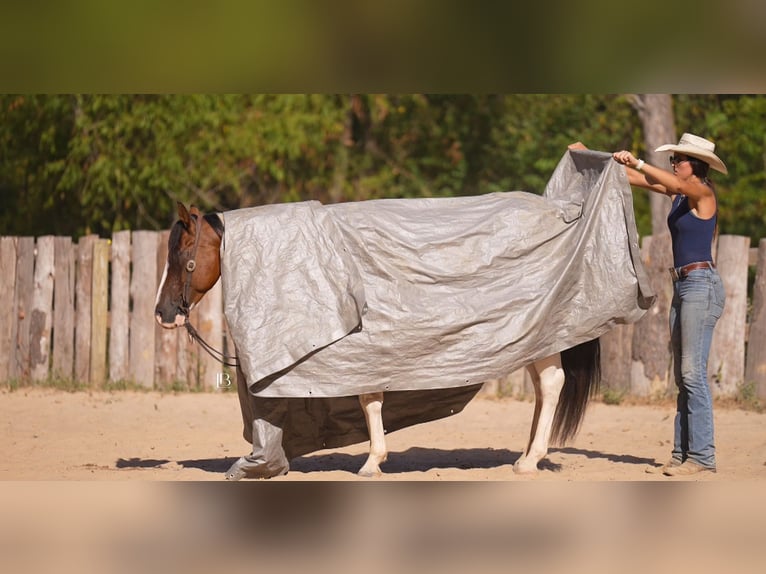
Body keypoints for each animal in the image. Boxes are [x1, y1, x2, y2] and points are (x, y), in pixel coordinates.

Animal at [155, 202, 601, 478]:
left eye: (181, 257)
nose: (163, 314)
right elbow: (369, 402)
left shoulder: (363, 354)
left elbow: (369, 401)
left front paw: (371, 462)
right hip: (535, 337)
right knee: (543, 388)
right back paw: (527, 454)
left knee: (552, 384)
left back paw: (530, 460)